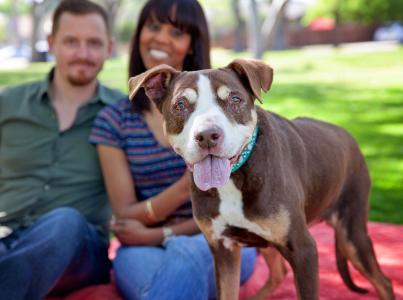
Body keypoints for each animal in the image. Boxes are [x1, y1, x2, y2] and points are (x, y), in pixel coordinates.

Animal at [129, 59, 394, 300]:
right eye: (180, 105)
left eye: (235, 100)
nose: (207, 136)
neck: (234, 178)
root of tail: (348, 135)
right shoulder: (223, 250)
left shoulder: (304, 250)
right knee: (278, 272)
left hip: (352, 233)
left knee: (384, 282)